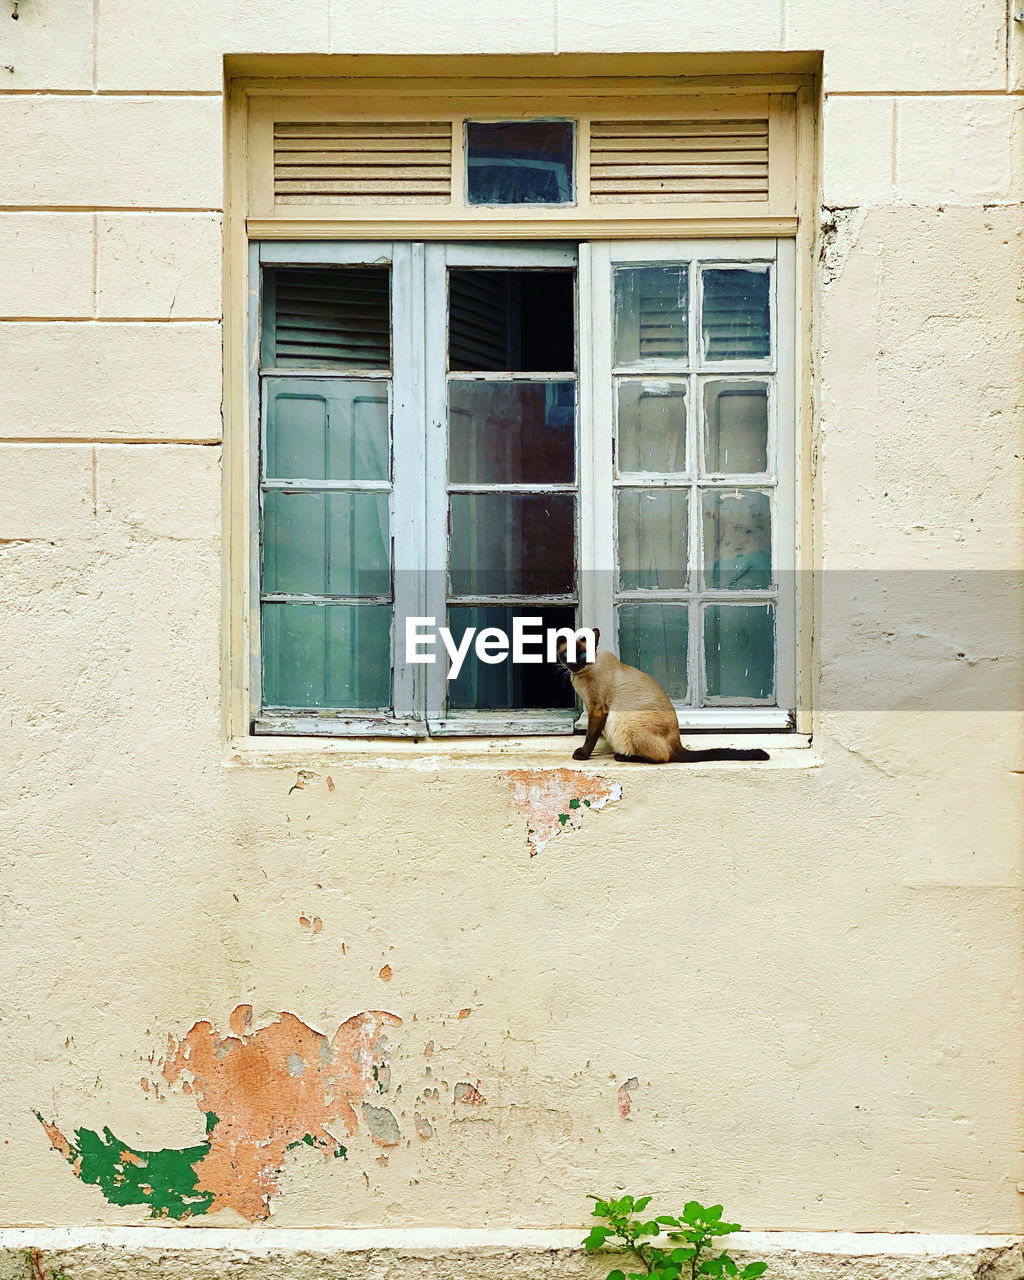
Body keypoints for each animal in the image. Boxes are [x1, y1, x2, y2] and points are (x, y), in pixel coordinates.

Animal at [560, 627, 768, 762]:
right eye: (567, 655)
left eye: (583, 655)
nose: (574, 665)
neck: (580, 675)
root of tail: (678, 744)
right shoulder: (592, 708)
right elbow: (594, 732)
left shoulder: (598, 708)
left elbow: (590, 735)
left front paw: (582, 755)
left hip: (625, 723)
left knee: (663, 758)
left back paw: (623, 756)